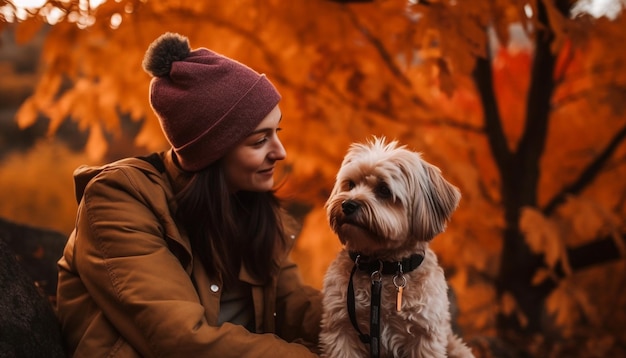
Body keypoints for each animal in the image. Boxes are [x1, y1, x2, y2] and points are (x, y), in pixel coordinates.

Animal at [320, 138, 470, 358]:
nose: (348, 204)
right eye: (351, 184)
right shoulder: (342, 328)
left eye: (384, 189)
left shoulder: (424, 336)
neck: (382, 268)